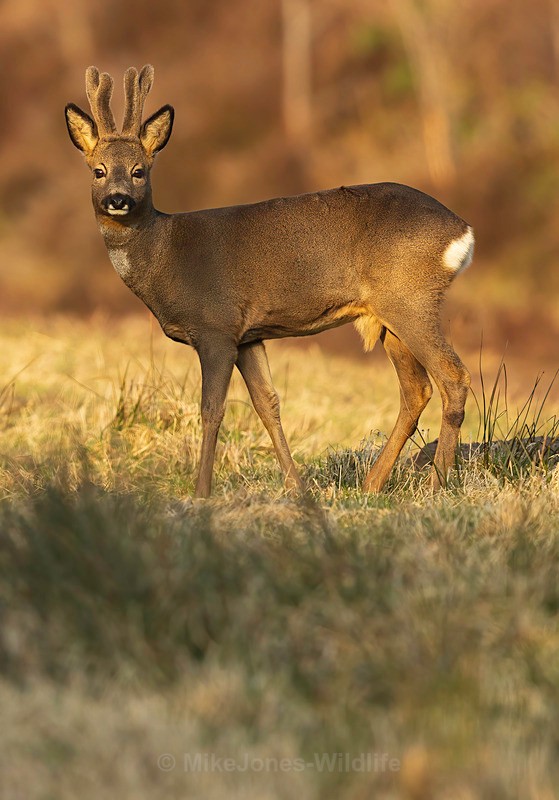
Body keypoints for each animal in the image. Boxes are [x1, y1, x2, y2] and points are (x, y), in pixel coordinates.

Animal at [65, 65, 473, 498]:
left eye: (139, 171)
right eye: (98, 170)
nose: (118, 199)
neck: (166, 254)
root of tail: (462, 231)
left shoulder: (216, 326)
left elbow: (211, 410)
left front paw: (201, 492)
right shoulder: (249, 335)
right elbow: (268, 404)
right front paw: (297, 488)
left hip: (410, 300)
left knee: (452, 376)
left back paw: (436, 484)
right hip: (388, 317)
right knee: (417, 389)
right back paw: (372, 483)